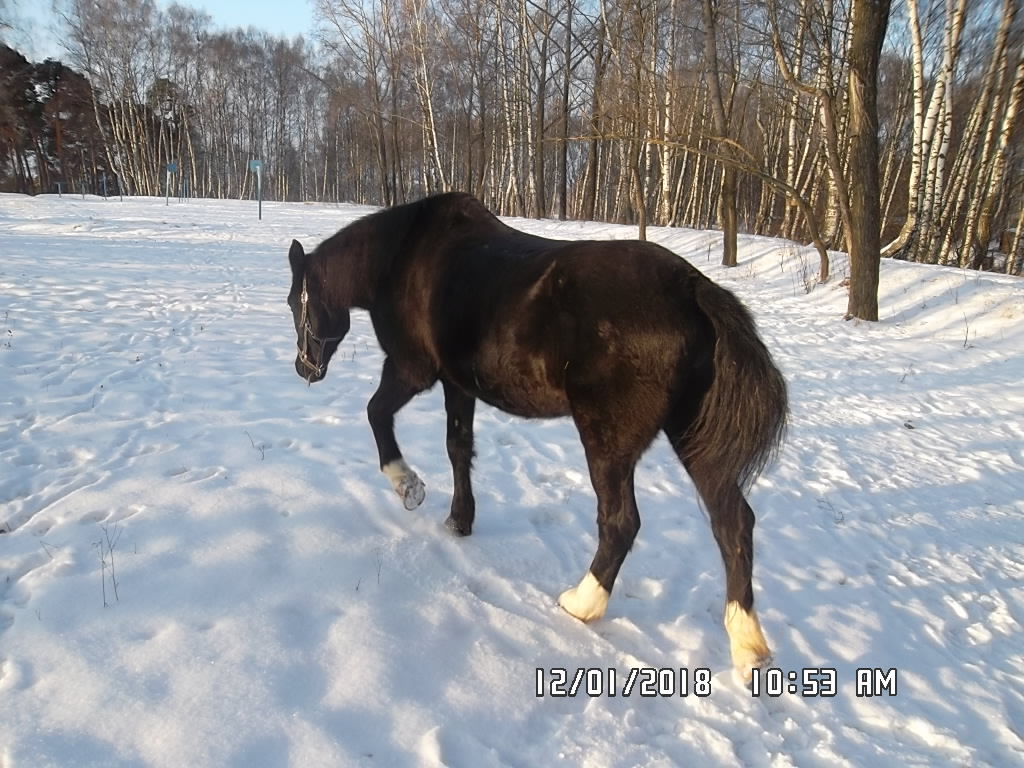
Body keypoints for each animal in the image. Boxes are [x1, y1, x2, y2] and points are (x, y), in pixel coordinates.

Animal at [286, 192, 788, 680]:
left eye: (296, 302)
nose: (304, 368)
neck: (402, 256)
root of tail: (693, 290)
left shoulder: (413, 370)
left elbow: (376, 415)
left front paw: (408, 485)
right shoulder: (457, 384)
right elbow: (457, 448)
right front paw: (460, 520)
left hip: (608, 441)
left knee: (621, 522)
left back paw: (582, 603)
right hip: (693, 439)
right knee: (732, 523)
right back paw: (748, 647)